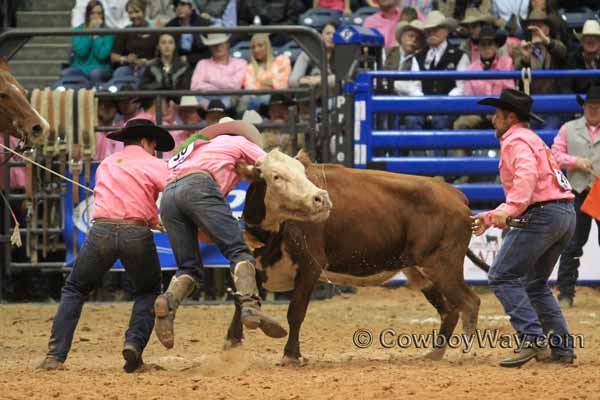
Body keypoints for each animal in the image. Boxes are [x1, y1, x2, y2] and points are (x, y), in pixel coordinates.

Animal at [230, 148, 488, 364]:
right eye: (276, 177)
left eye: (303, 174)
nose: (320, 199)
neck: (274, 232)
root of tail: (456, 195)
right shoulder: (258, 265)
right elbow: (241, 299)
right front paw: (232, 341)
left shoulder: (310, 266)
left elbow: (295, 312)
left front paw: (291, 355)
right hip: (420, 271)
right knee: (449, 310)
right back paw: (435, 353)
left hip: (441, 265)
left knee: (469, 302)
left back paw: (466, 352)